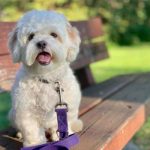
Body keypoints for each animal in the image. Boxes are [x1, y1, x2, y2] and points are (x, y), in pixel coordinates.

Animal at [7, 10, 83, 146]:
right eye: (31, 36)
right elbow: (32, 131)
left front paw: (64, 137)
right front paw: (35, 144)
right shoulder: (26, 111)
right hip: (12, 114)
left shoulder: (66, 108)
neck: (46, 77)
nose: (41, 43)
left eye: (54, 35)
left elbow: (62, 123)